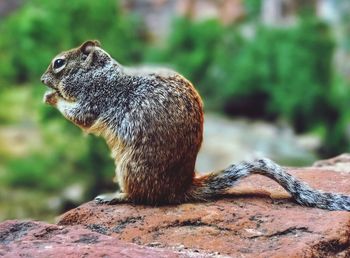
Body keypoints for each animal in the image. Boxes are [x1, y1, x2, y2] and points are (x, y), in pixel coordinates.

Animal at [40, 39, 350, 210]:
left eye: (58, 63)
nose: (42, 79)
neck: (101, 75)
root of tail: (181, 187)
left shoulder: (95, 101)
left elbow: (79, 115)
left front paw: (51, 96)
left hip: (128, 168)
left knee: (140, 197)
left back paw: (112, 196)